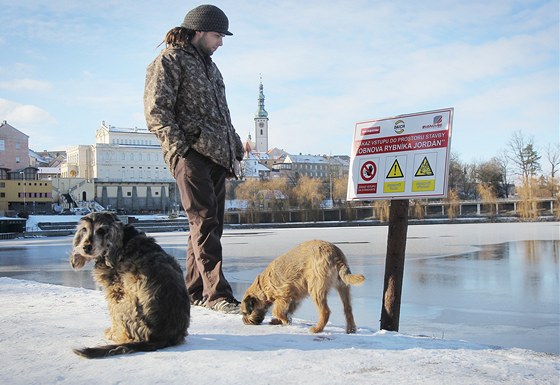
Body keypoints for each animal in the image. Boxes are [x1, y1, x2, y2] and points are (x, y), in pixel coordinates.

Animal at [67, 210, 189, 356]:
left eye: (101, 230)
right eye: (84, 229)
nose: (86, 247)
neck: (123, 241)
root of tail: (162, 338)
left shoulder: (115, 290)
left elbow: (113, 315)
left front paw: (112, 332)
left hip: (126, 304)